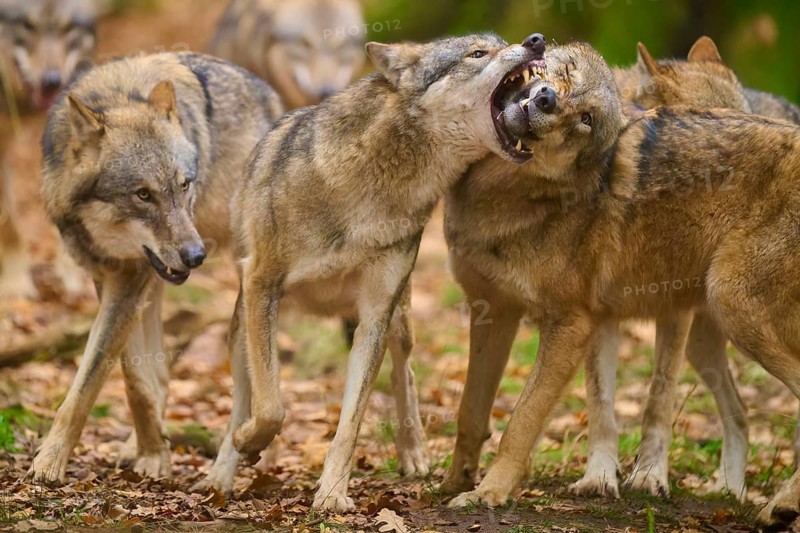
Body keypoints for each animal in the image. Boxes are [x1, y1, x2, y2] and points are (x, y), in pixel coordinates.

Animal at [0, 0, 96, 298]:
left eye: (68, 28)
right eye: (27, 26)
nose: (51, 81)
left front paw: (74, 274)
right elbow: (9, 222)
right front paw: (14, 281)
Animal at [31, 52, 283, 484]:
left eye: (185, 185)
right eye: (143, 195)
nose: (196, 256)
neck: (119, 94)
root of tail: (267, 89)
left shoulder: (130, 283)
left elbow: (87, 388)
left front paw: (51, 461)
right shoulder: (114, 280)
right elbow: (134, 380)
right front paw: (150, 450)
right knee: (160, 374)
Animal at [219, 33, 547, 512]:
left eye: (503, 44)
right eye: (477, 53)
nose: (536, 41)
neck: (370, 188)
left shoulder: (374, 315)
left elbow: (350, 422)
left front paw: (332, 493)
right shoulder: (262, 285)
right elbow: (268, 407)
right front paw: (246, 445)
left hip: (398, 318)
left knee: (403, 372)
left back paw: (413, 453)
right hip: (245, 319)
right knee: (246, 394)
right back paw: (223, 470)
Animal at [443, 40, 800, 530]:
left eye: (586, 119)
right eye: (564, 72)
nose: (546, 99)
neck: (501, 191)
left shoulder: (572, 324)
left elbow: (524, 420)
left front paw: (489, 494)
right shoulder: (497, 311)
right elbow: (483, 410)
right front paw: (457, 482)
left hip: (734, 308)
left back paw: (779, 504)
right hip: (710, 337)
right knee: (741, 414)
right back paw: (734, 491)